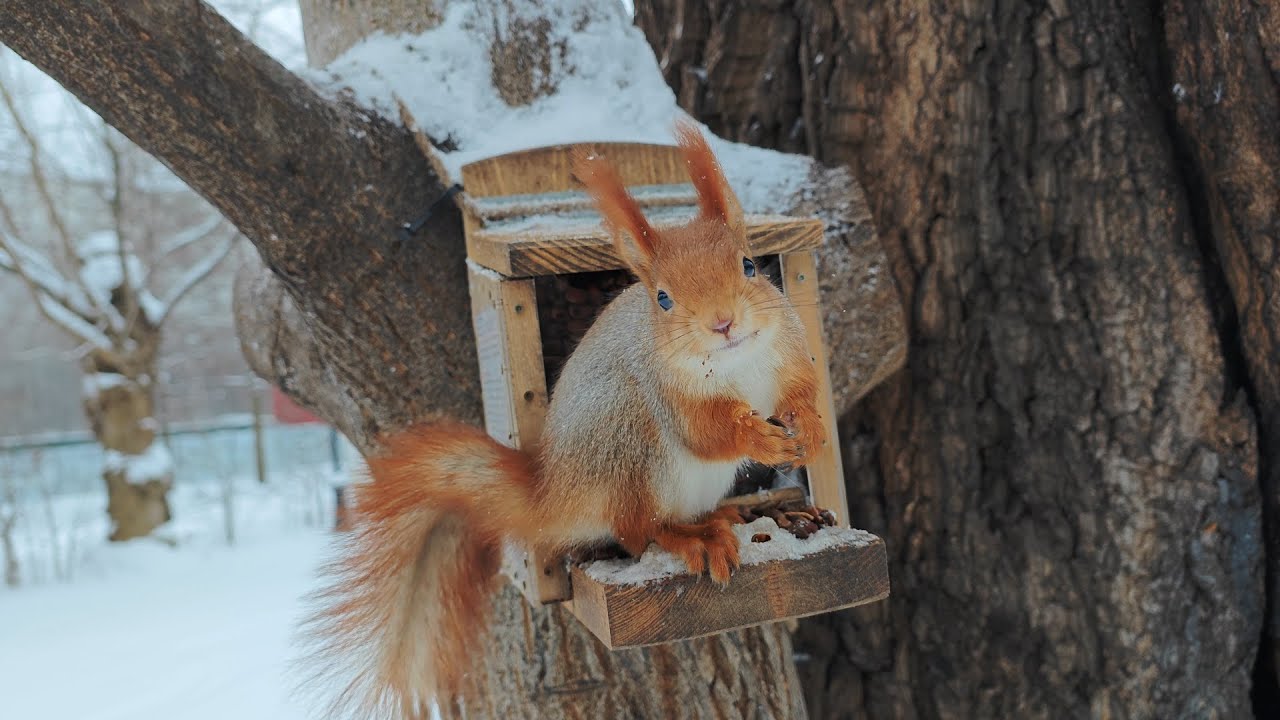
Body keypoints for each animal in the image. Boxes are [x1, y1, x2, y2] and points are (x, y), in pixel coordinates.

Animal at [298, 120, 827, 718]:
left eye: (749, 265)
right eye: (662, 299)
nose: (723, 323)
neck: (739, 362)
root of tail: (555, 491)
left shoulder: (788, 355)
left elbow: (801, 394)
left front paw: (809, 429)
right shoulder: (670, 394)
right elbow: (708, 432)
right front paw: (757, 436)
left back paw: (724, 516)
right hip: (628, 447)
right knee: (639, 530)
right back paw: (696, 538)